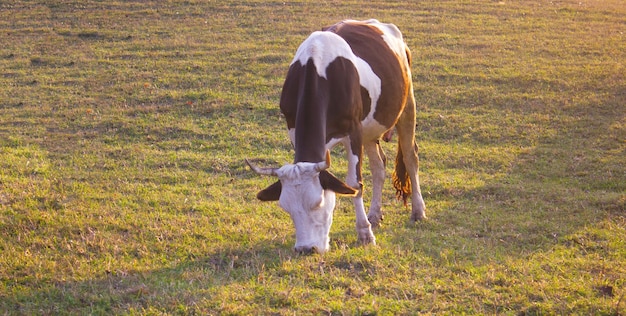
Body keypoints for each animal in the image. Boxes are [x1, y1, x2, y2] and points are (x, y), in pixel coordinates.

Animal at [244, 19, 424, 252]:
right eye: (286, 207)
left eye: (318, 203)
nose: (305, 249)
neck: (317, 65)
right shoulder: (293, 129)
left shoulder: (354, 131)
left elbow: (355, 184)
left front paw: (365, 234)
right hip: (371, 127)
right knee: (379, 166)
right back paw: (375, 214)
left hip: (406, 103)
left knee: (411, 157)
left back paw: (418, 210)